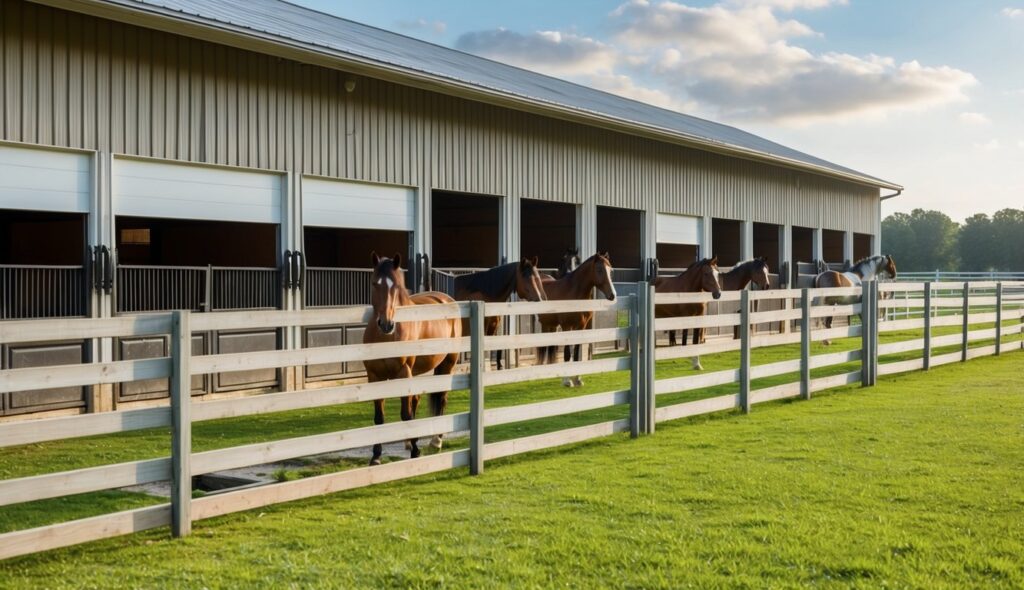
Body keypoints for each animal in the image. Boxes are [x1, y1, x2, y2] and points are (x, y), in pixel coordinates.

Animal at [366, 251, 462, 465]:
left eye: (396, 286)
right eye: (374, 283)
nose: (386, 324)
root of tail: (446, 298)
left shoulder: (404, 373)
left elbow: (406, 415)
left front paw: (416, 452)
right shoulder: (374, 377)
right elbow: (379, 419)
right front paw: (376, 456)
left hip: (447, 364)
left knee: (441, 399)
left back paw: (436, 441)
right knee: (417, 399)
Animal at [536, 251, 614, 387]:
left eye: (611, 270)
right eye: (599, 269)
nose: (612, 295)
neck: (574, 293)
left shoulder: (580, 327)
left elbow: (577, 354)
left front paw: (577, 379)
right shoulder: (567, 326)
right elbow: (567, 353)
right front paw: (567, 381)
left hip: (551, 325)